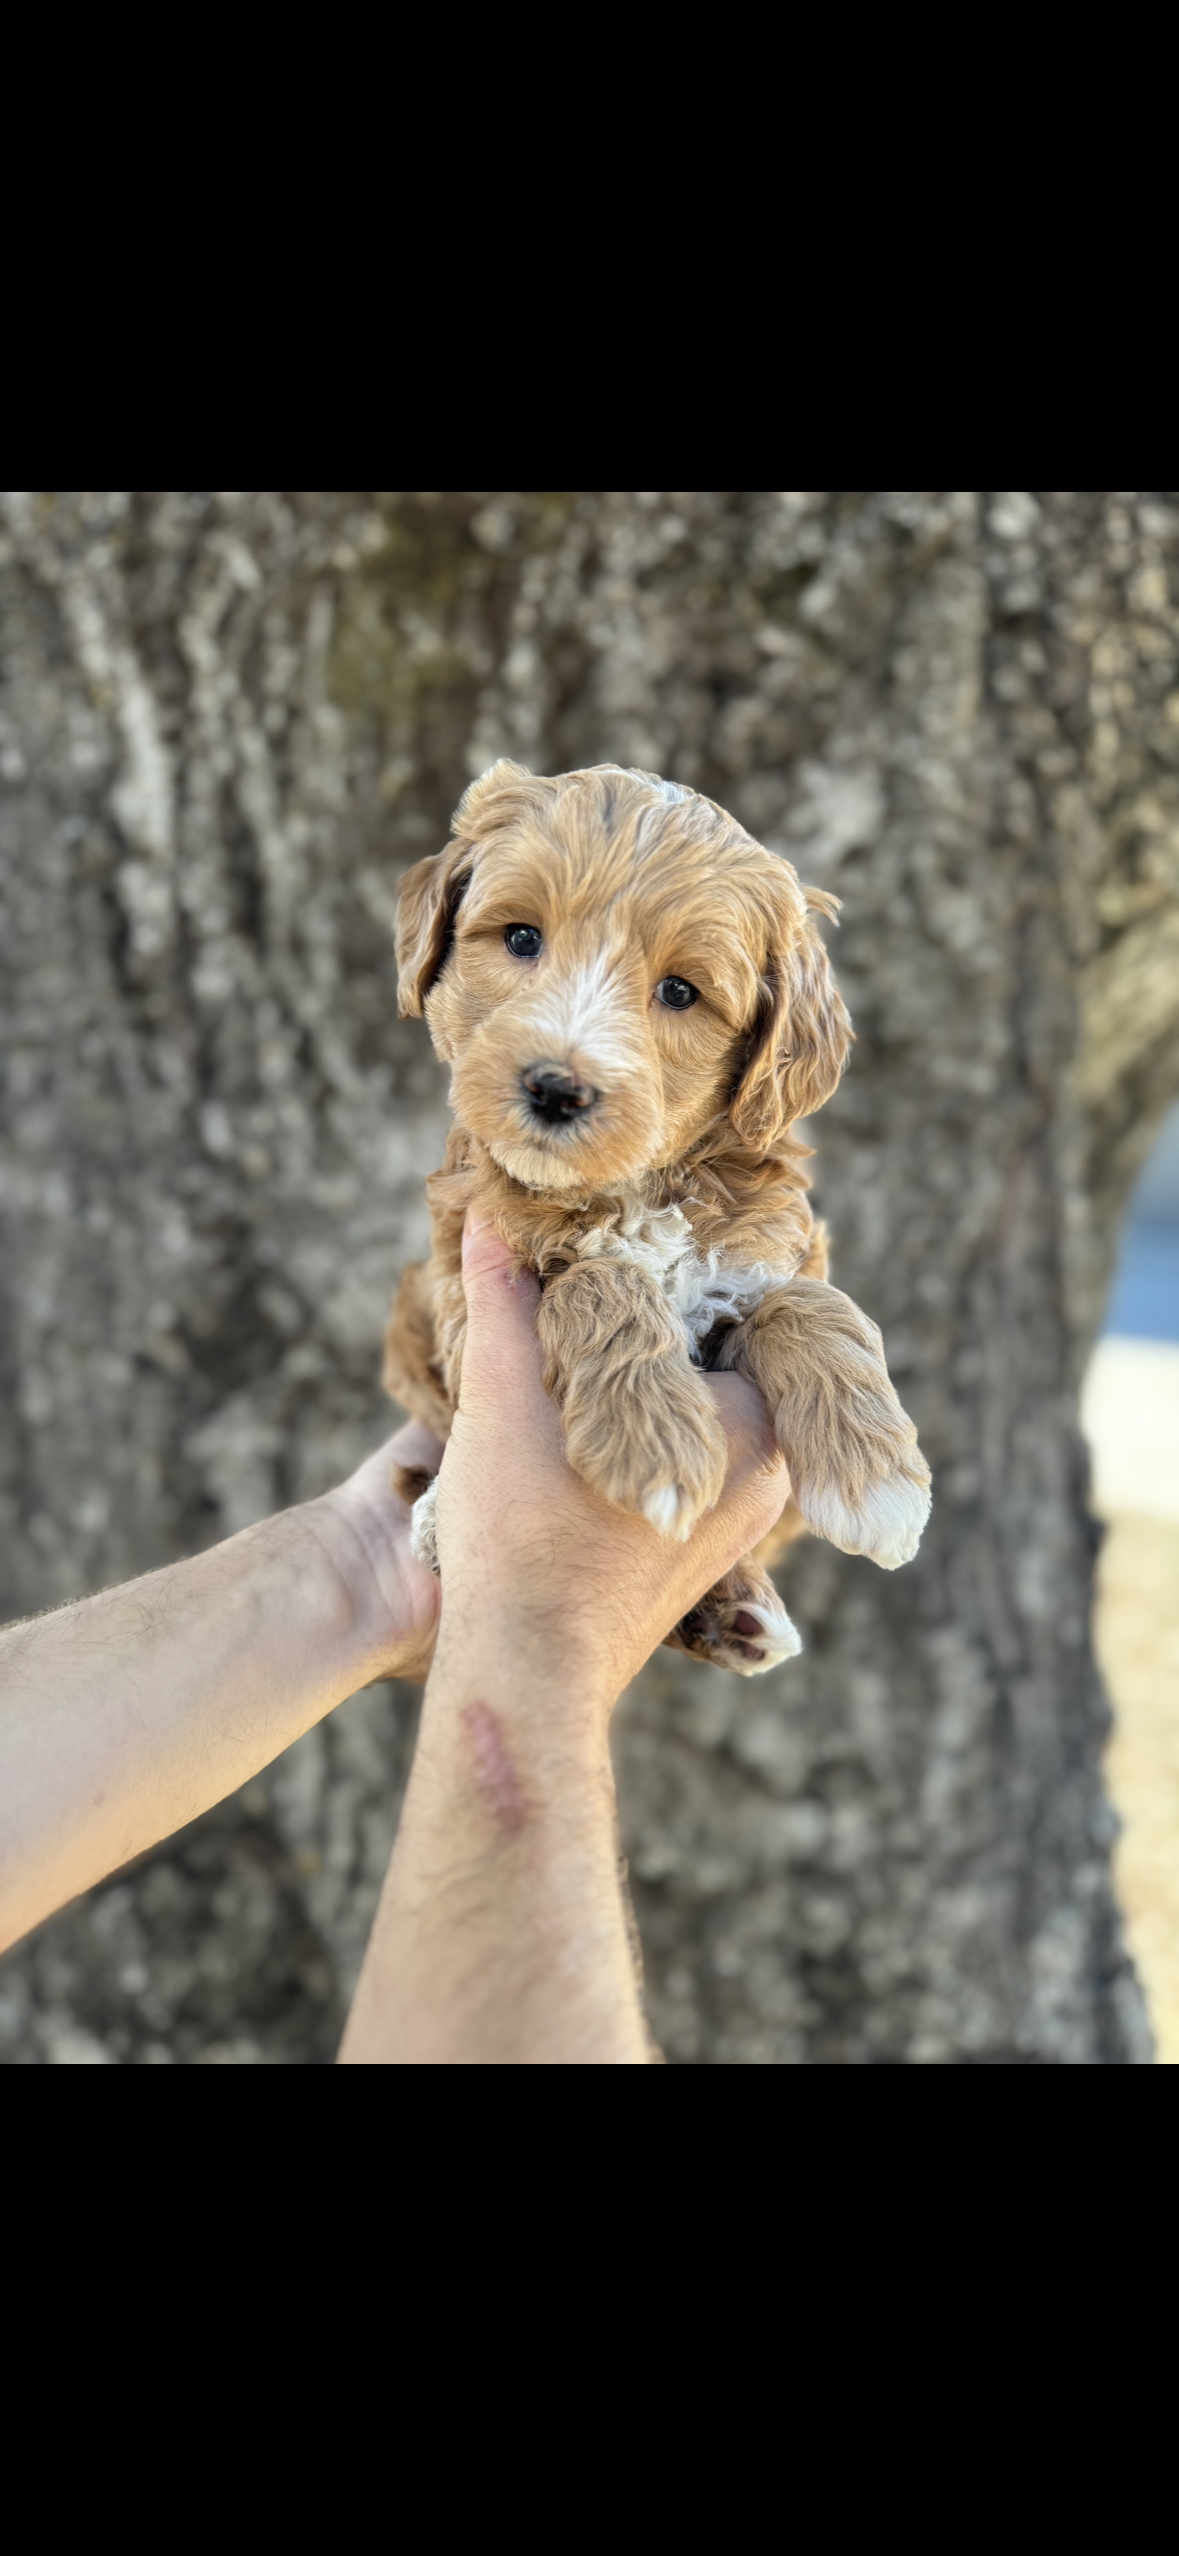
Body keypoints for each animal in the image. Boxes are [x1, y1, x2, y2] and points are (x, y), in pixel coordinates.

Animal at [381, 756, 925, 1676]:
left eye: (679, 992)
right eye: (520, 939)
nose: (556, 1088)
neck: (637, 1188)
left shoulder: (763, 1255)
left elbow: (810, 1302)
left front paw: (874, 1481)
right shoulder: (467, 1271)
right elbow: (597, 1281)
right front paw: (654, 1443)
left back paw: (737, 1610)